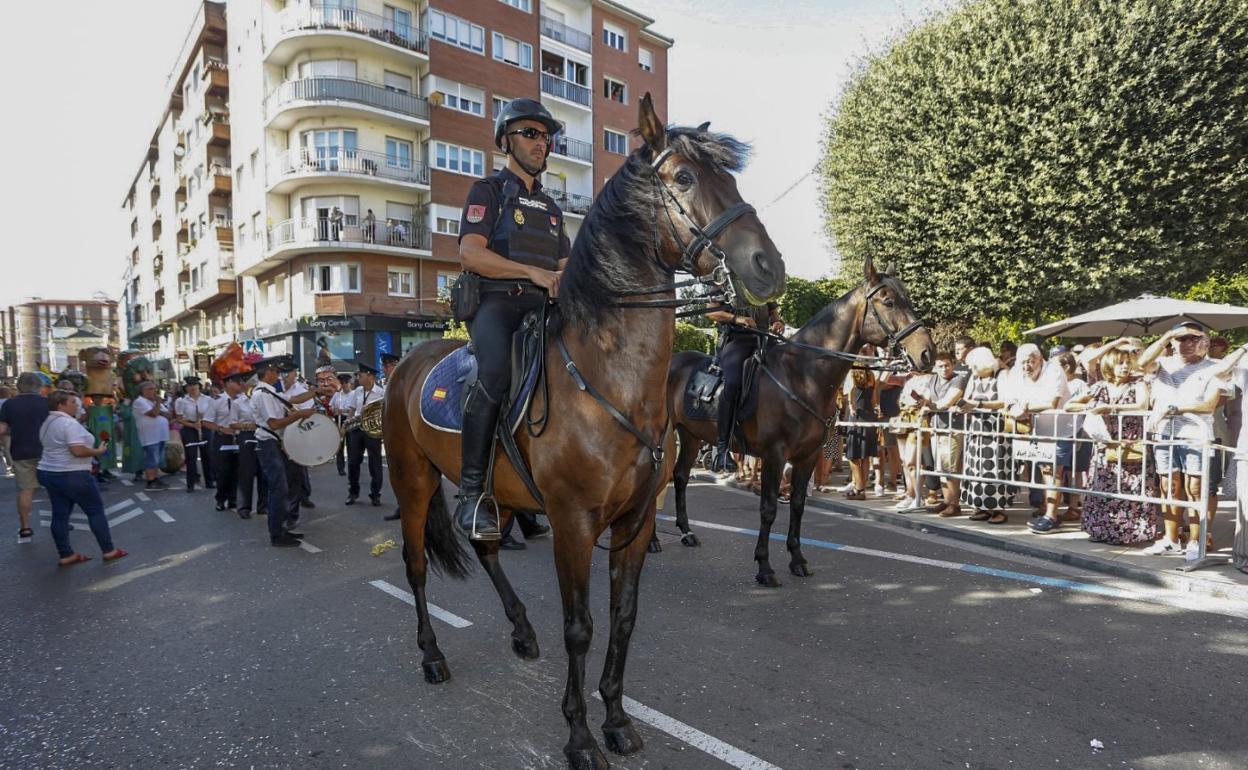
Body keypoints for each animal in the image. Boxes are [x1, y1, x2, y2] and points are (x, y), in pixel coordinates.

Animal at [384, 96, 783, 768]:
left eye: (731, 180)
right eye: (683, 179)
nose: (768, 267)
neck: (609, 378)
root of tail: (404, 364)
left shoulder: (635, 522)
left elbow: (623, 620)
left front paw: (617, 720)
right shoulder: (573, 522)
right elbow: (581, 627)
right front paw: (579, 737)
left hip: (492, 496)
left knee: (486, 547)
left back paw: (520, 630)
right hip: (412, 482)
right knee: (415, 567)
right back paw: (432, 656)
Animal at [658, 258, 933, 581]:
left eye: (908, 300)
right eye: (888, 302)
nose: (927, 353)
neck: (802, 376)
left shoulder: (808, 456)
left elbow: (798, 505)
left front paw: (797, 559)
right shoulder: (775, 455)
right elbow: (768, 508)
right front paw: (764, 566)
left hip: (690, 435)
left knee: (679, 476)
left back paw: (686, 532)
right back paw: (652, 540)